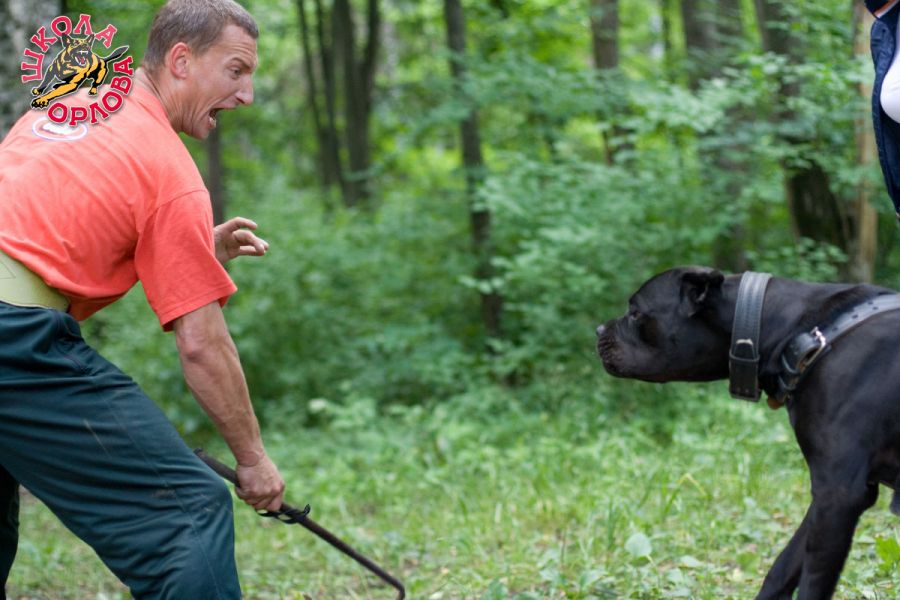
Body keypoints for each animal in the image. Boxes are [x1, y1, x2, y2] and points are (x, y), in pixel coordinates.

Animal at [596, 266, 900, 599]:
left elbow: (812, 583)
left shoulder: (838, 493)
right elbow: (782, 567)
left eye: (636, 313)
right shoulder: (833, 496)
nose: (598, 329)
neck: (801, 334)